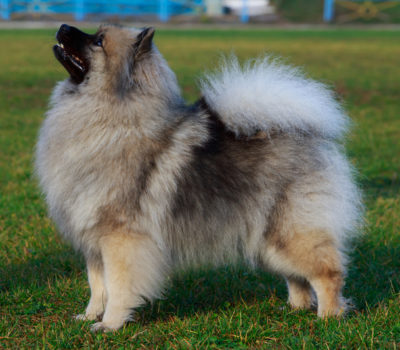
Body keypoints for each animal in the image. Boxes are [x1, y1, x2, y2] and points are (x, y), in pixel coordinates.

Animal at [35, 23, 362, 330]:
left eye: (99, 41)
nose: (63, 27)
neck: (112, 118)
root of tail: (301, 134)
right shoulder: (93, 239)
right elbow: (97, 284)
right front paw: (89, 316)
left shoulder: (120, 238)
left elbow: (117, 286)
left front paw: (110, 324)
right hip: (268, 239)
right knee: (297, 276)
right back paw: (295, 308)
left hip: (290, 232)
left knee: (327, 272)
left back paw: (329, 316)